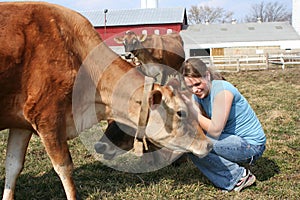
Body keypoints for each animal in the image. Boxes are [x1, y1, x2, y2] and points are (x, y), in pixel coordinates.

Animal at [0, 1, 211, 200]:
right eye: (181, 112)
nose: (208, 144)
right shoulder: (47, 118)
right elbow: (64, 168)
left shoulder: (21, 124)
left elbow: (13, 165)